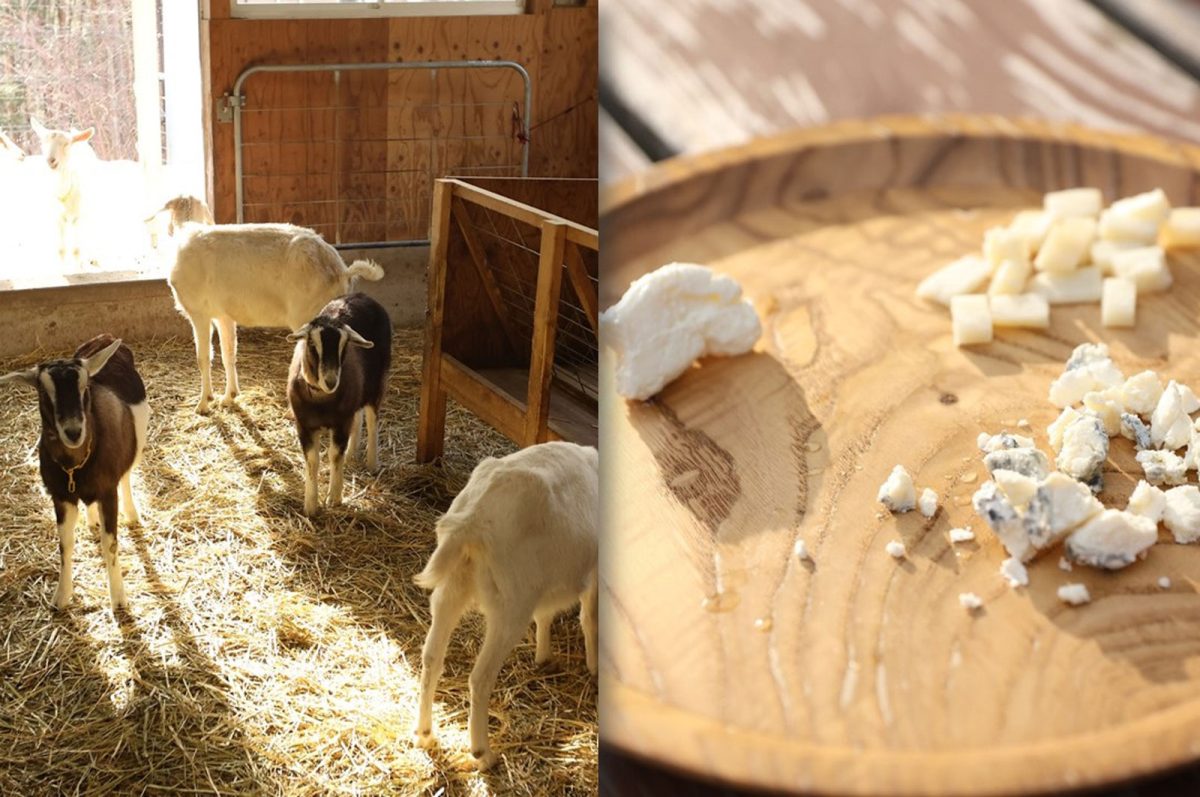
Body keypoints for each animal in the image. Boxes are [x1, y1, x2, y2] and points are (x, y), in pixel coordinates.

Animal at [0, 335, 150, 611]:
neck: (75, 467)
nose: (73, 431)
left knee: (126, 476)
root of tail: (105, 338)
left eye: (84, 387)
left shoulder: (107, 492)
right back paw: (92, 520)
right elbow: (65, 544)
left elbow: (109, 543)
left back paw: (132, 515)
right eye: (43, 392)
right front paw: (61, 597)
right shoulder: (60, 496)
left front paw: (119, 598)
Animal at [169, 223, 385, 414]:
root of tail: (342, 271)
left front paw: (203, 404)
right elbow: (228, 353)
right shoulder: (224, 316)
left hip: (307, 316)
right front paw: (229, 396)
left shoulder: (199, 313)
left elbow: (203, 358)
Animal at [287, 293, 392, 516]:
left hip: (377, 383)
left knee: (372, 420)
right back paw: (352, 454)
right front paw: (310, 506)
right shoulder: (304, 424)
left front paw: (334, 497)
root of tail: (362, 296)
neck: (321, 401)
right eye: (312, 344)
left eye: (344, 346)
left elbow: (335, 455)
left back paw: (372, 463)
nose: (331, 381)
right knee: (358, 417)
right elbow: (312, 460)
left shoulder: (341, 422)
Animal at [413, 441, 599, 770]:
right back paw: (482, 753)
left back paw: (425, 732)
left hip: (452, 588)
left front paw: (544, 656)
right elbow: (589, 617)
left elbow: (546, 614)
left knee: (432, 656)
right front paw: (594, 667)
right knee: (480, 677)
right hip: (510, 605)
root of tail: (472, 520)